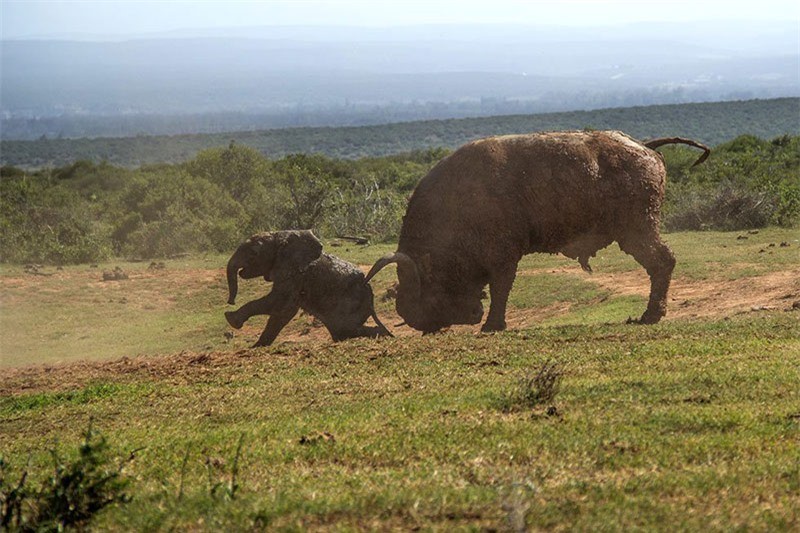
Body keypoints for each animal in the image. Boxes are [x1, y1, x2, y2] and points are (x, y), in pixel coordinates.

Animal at [225, 230, 390, 348]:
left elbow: (281, 305)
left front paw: (231, 320)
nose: (231, 302)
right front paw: (256, 346)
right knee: (342, 331)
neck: (280, 237)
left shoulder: (296, 274)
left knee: (347, 329)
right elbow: (283, 311)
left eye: (254, 253)